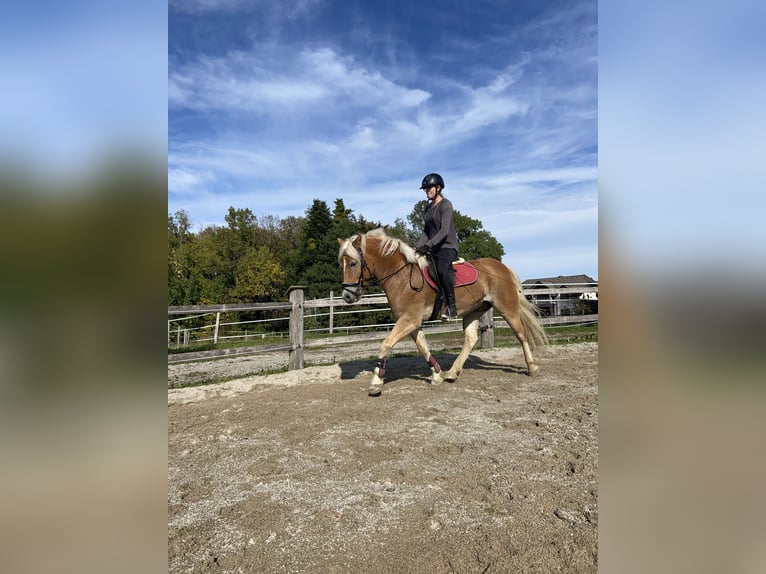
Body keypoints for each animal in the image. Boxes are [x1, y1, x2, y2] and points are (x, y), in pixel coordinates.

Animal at [340, 228, 548, 396]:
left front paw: (376, 383)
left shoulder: (409, 320)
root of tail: (501, 266)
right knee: (470, 339)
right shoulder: (412, 323)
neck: (401, 277)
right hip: (474, 310)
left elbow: (386, 344)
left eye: (353, 263)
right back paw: (452, 373)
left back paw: (532, 367)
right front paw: (437, 375)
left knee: (521, 334)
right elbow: (423, 348)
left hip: (507, 308)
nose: (347, 296)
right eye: (341, 264)